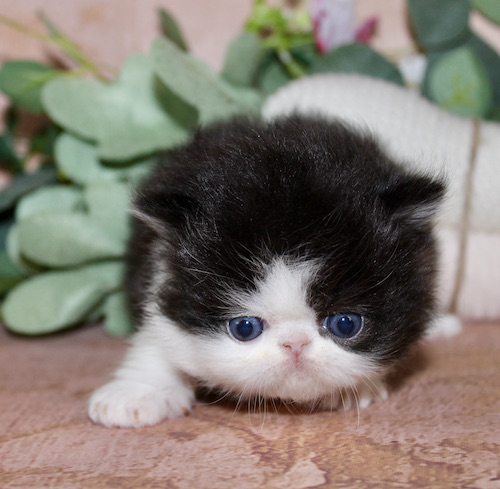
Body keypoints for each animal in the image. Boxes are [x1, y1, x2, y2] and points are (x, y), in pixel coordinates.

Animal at [88, 115, 446, 428]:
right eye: (245, 328)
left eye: (345, 324)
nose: (295, 345)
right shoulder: (157, 274)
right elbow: (156, 337)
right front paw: (137, 393)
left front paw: (356, 389)